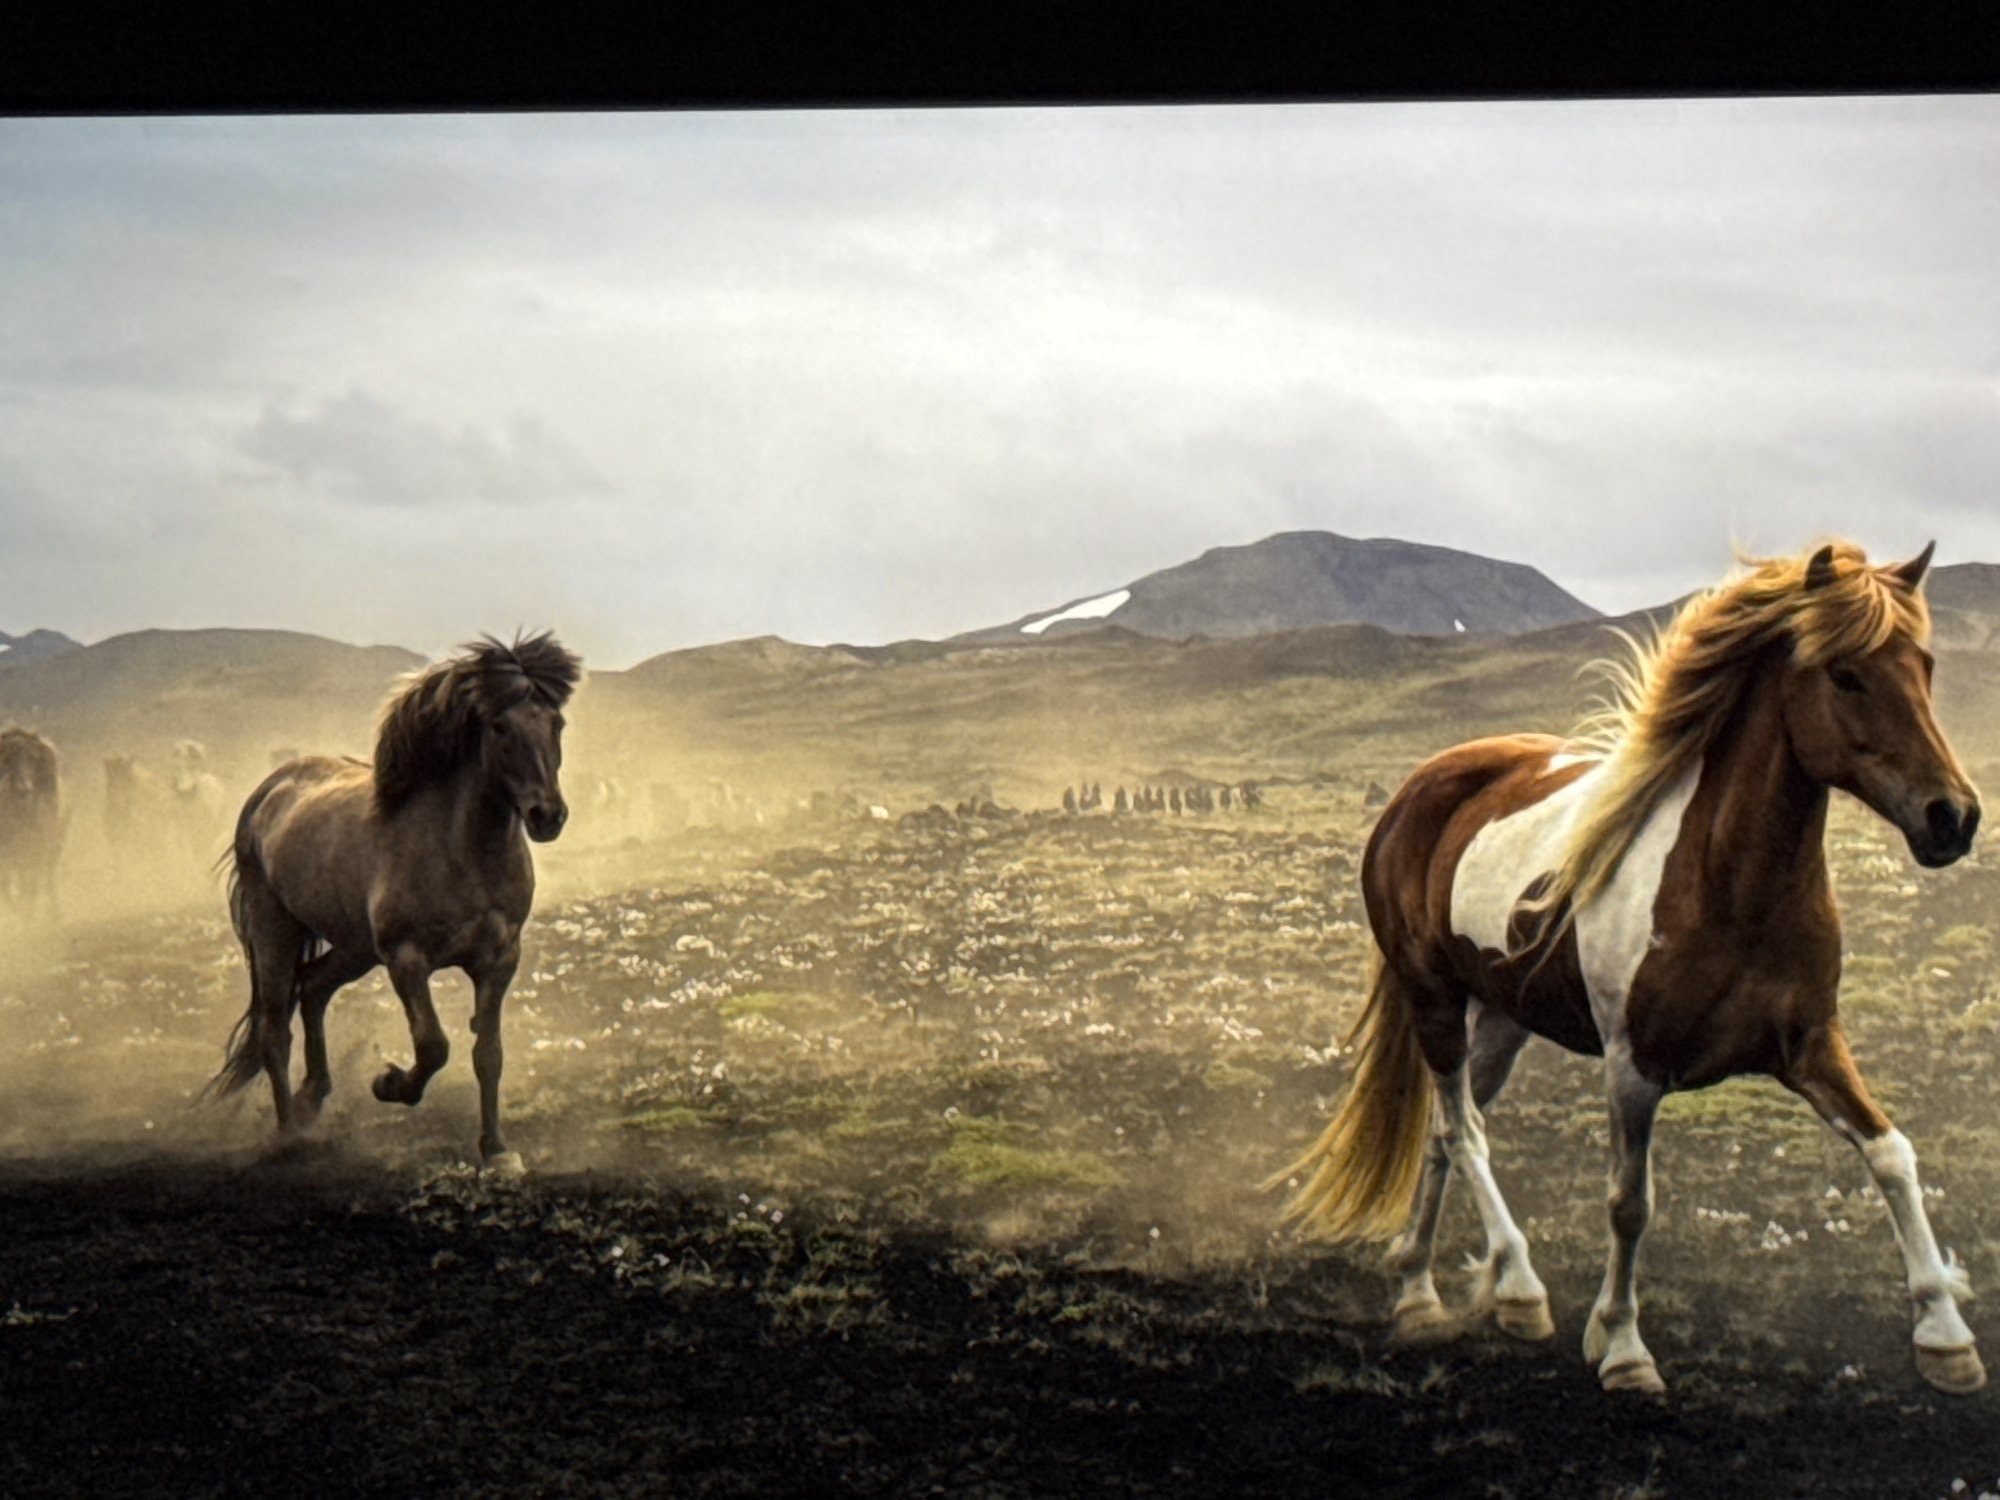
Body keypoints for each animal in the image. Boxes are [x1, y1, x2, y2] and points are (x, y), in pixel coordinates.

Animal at [0, 727, 65, 923]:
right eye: (7, 760)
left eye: (32, 759)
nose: (25, 789)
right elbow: (8, 891)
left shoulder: (36, 851)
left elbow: (31, 887)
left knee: (45, 879)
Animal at [209, 632, 581, 1168]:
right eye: (499, 726)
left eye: (556, 723)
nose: (547, 815)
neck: (461, 851)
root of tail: (268, 791)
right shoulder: (406, 959)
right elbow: (433, 1046)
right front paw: (389, 1084)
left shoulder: (500, 957)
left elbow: (488, 1055)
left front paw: (496, 1149)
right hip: (274, 931)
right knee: (275, 1030)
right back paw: (291, 1134)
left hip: (356, 947)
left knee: (314, 987)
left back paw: (312, 1097)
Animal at [1268, 541, 1987, 1397]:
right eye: (1845, 673)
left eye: (1924, 665)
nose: (1953, 817)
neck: (1727, 889)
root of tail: (1416, 789)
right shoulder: (1632, 1068)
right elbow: (1628, 1203)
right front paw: (1620, 1346)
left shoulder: (1812, 1046)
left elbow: (1892, 1155)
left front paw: (1945, 1334)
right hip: (1434, 1001)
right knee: (1463, 1131)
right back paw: (1517, 1288)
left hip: (1503, 1020)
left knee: (1446, 1135)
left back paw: (1416, 1289)